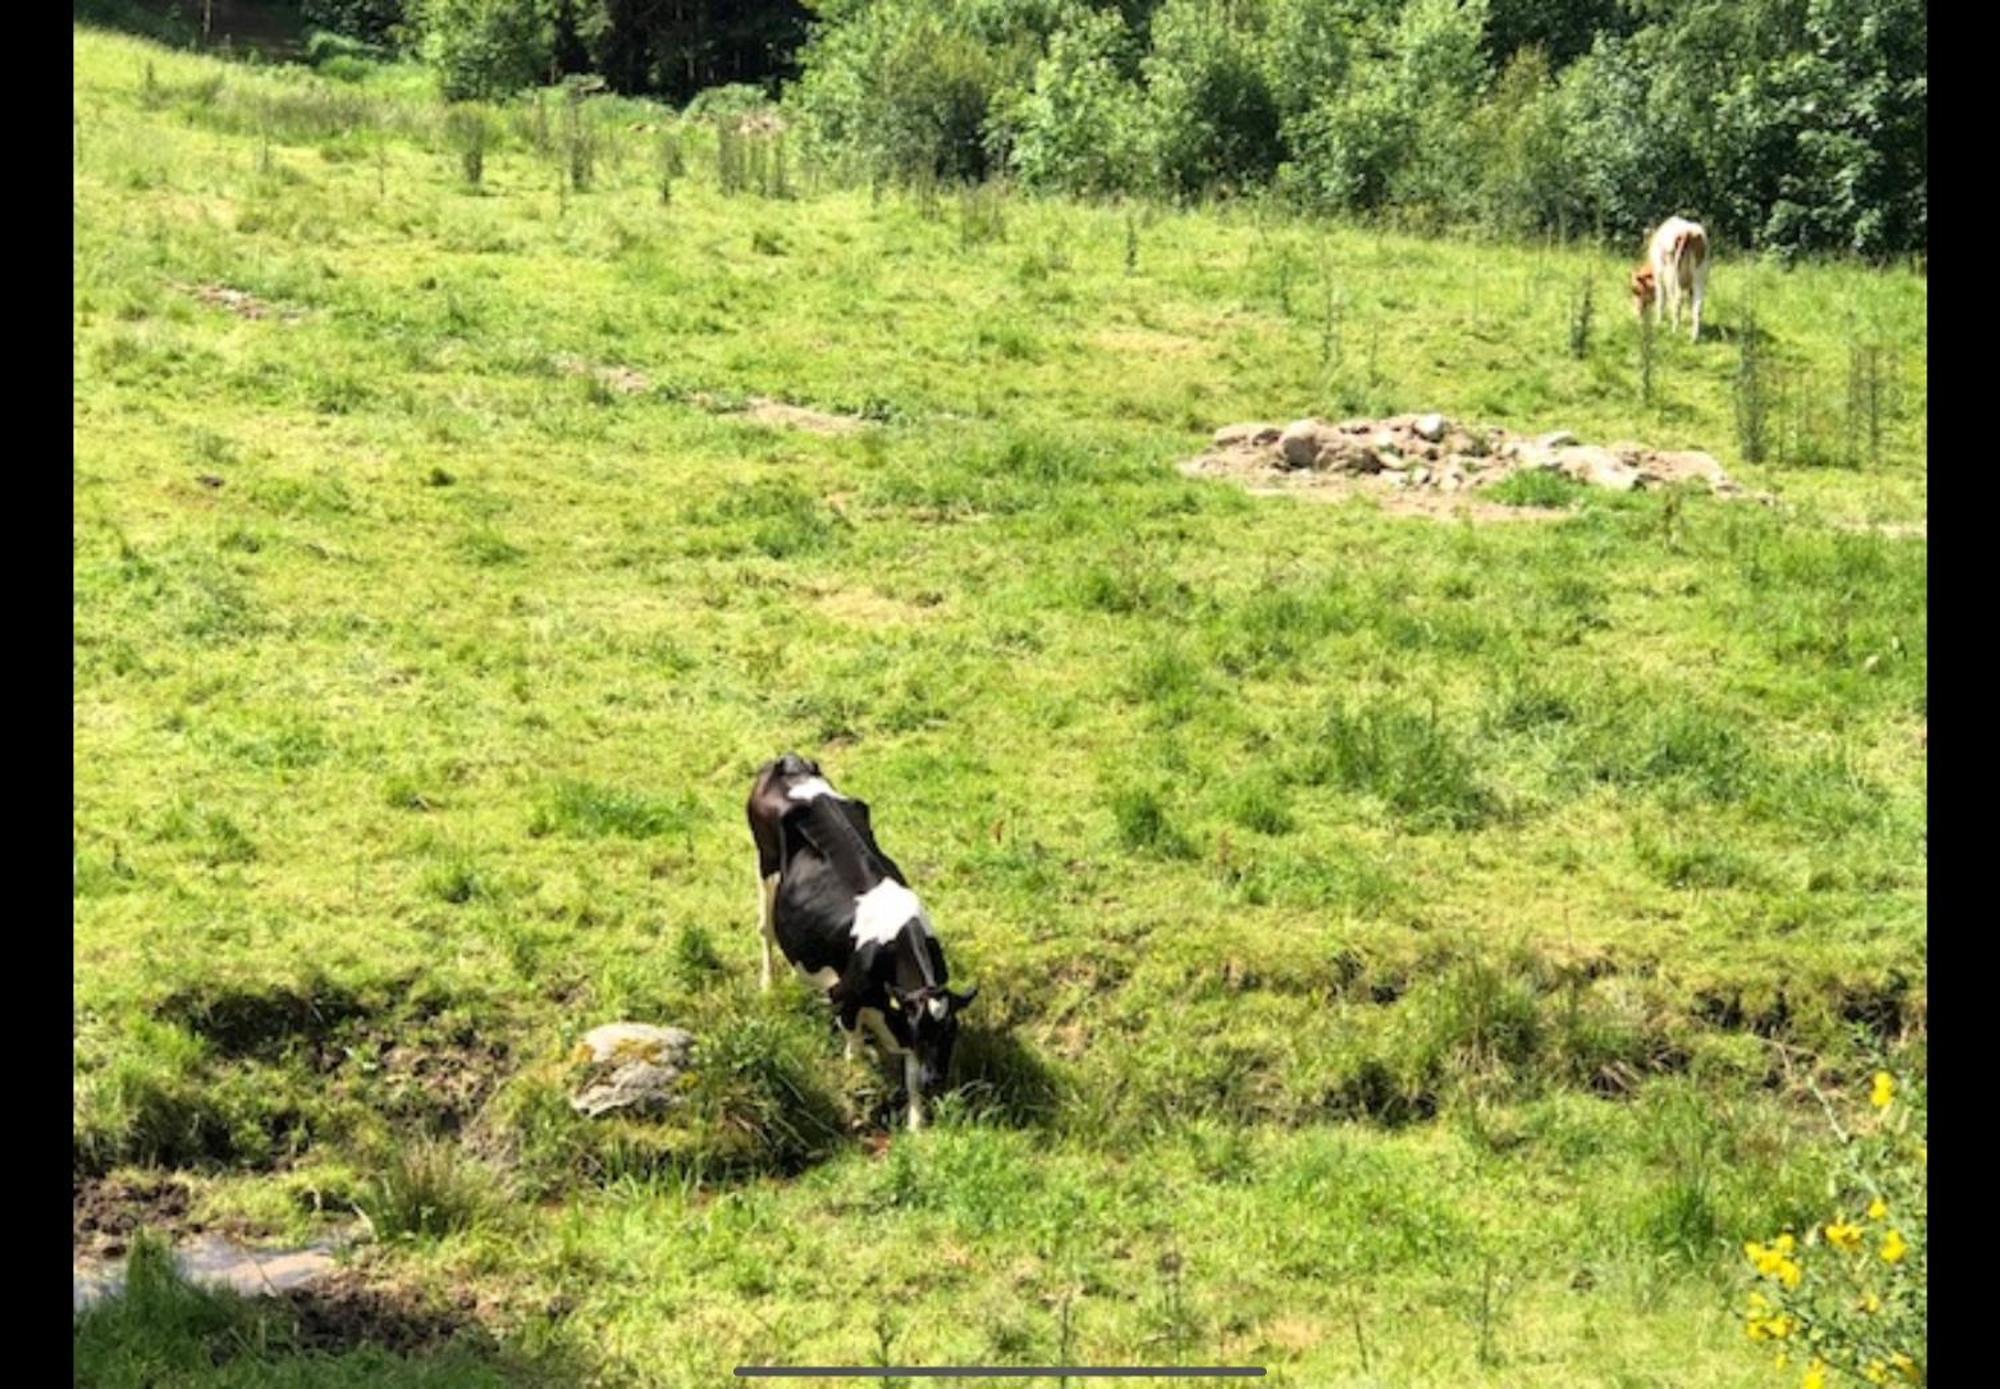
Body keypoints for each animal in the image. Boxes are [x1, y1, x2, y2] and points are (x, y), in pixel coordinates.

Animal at [744, 756, 976, 1136]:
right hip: (765, 864)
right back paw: (767, 984)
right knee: (766, 929)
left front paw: (916, 1126)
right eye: (921, 1032)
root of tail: (790, 761)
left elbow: (910, 1077)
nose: (936, 1079)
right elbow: (853, 1050)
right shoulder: (845, 999)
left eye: (950, 1032)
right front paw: (858, 1080)